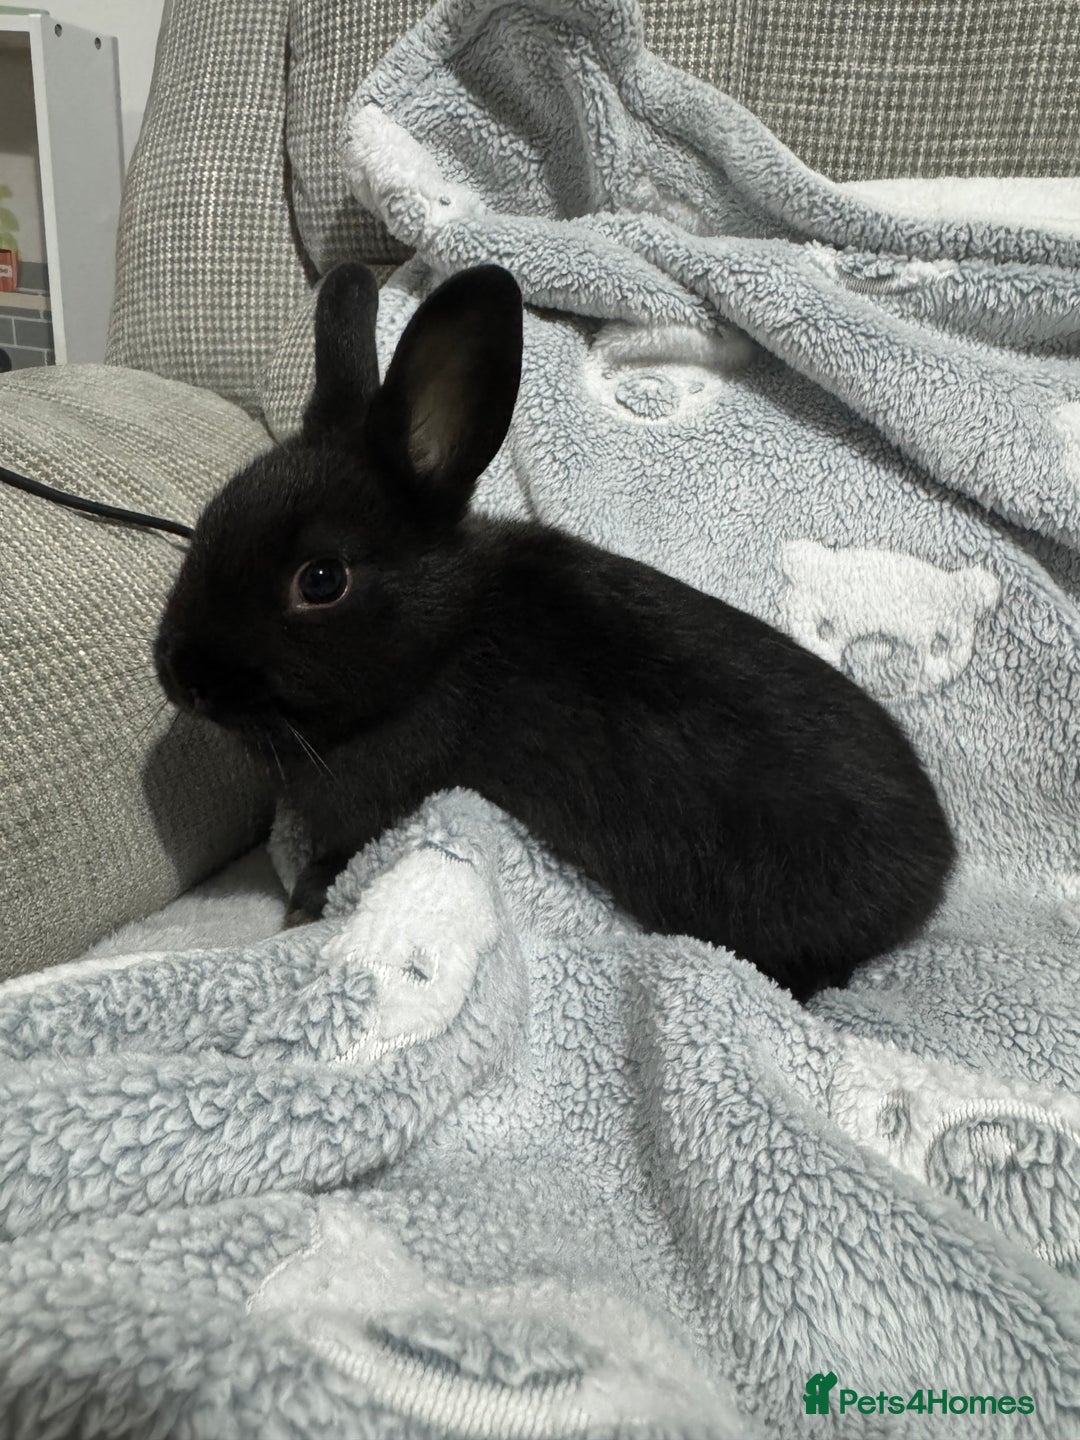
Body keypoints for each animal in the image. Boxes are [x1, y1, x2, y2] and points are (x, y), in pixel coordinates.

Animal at [155, 262, 956, 1000]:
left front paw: (302, 908)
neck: (441, 645)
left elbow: (337, 858)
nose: (179, 675)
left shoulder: (376, 808)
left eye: (321, 581)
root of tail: (935, 874)